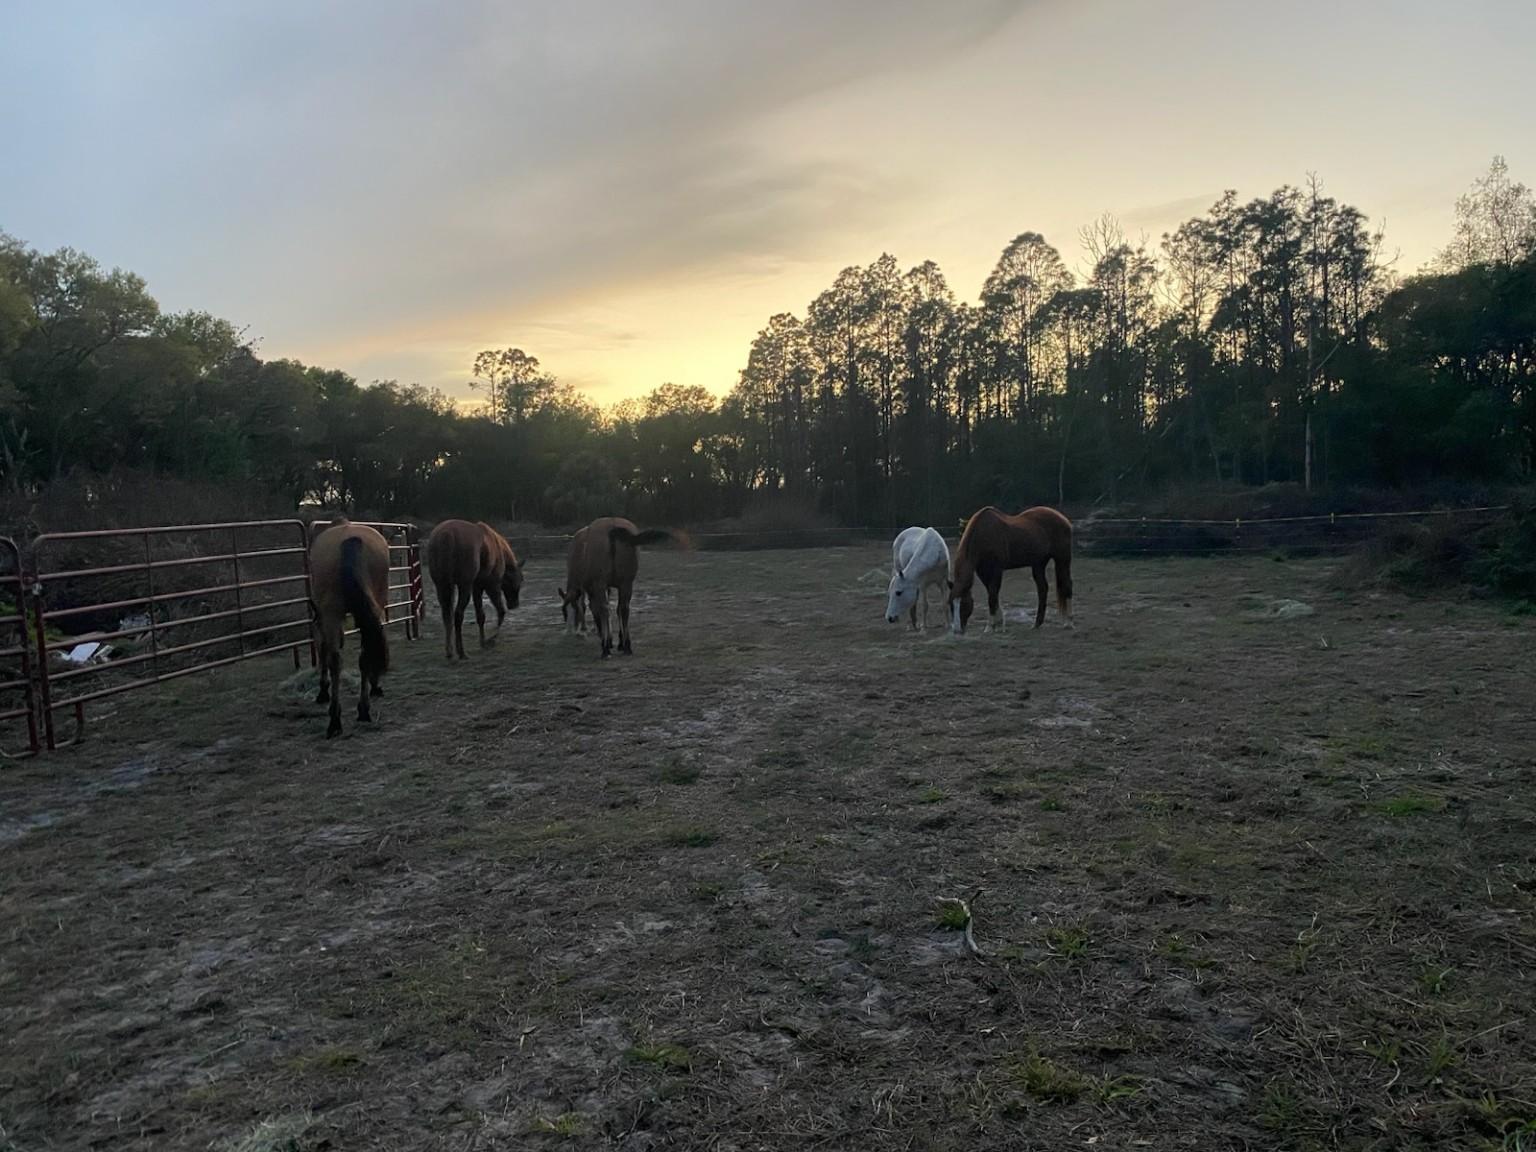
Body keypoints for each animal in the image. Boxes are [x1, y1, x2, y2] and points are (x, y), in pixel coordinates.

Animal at [308, 519, 391, 737]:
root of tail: (351, 539)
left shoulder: (325, 620)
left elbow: (325, 652)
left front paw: (323, 691)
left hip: (332, 612)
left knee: (335, 660)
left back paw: (335, 720)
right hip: (373, 606)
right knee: (364, 655)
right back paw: (363, 709)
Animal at [427, 519, 523, 659]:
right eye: (520, 580)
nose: (514, 604)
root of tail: (446, 534)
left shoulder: (476, 587)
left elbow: (480, 616)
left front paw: (484, 641)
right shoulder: (488, 586)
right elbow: (499, 611)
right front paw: (490, 640)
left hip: (442, 586)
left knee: (447, 616)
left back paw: (450, 651)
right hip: (464, 586)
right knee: (458, 615)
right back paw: (461, 652)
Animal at [558, 516, 686, 657]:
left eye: (575, 612)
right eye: (564, 611)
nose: (570, 632)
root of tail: (612, 527)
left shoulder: (594, 588)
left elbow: (594, 608)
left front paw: (604, 636)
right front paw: (616, 640)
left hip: (601, 584)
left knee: (605, 609)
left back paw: (605, 649)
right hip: (626, 583)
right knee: (623, 609)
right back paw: (626, 645)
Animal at [947, 506, 1073, 634]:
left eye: (964, 603)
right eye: (950, 604)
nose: (957, 630)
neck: (983, 535)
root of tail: (1063, 518)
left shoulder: (996, 571)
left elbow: (992, 597)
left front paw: (990, 626)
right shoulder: (982, 572)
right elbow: (993, 595)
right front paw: (998, 623)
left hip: (1062, 559)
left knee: (1066, 585)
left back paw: (1068, 622)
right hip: (1039, 563)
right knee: (1042, 588)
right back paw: (1037, 624)